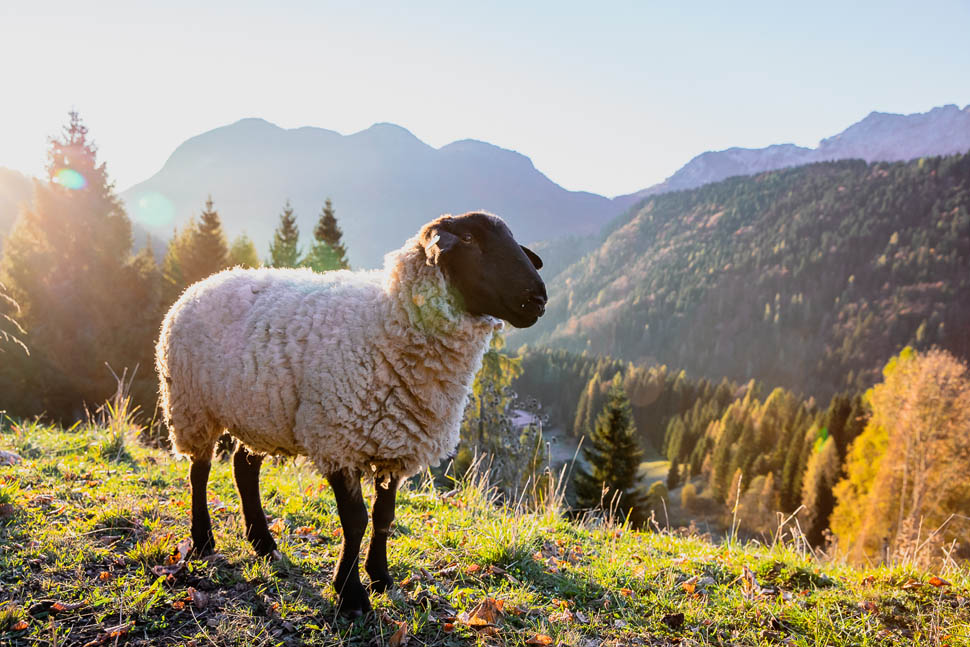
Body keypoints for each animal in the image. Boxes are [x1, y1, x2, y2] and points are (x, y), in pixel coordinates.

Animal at [155, 214, 540, 616]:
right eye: (468, 239)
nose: (538, 299)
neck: (389, 320)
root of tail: (207, 280)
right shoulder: (337, 438)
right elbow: (355, 521)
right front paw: (351, 594)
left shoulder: (396, 440)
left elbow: (385, 517)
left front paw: (381, 578)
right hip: (191, 406)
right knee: (199, 472)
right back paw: (203, 539)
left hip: (259, 412)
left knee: (244, 469)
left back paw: (264, 543)